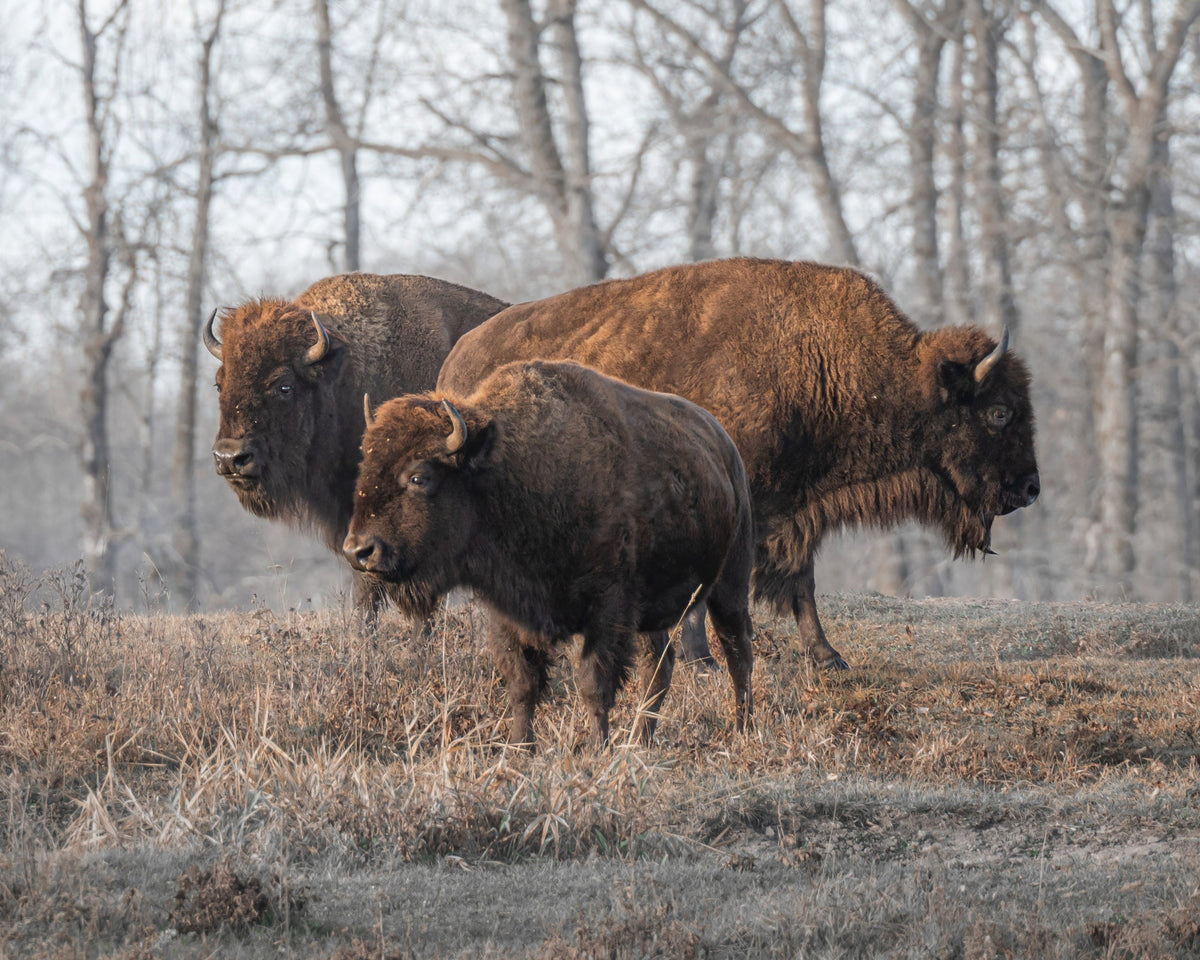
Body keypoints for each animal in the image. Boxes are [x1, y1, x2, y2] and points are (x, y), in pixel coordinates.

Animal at [342, 360, 754, 746]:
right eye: (365, 468)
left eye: (419, 477)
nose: (358, 551)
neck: (513, 475)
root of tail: (727, 449)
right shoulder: (509, 613)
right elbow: (523, 685)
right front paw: (520, 748)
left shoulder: (608, 608)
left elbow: (594, 685)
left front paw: (596, 749)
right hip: (654, 615)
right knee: (660, 667)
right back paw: (641, 740)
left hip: (730, 585)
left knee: (738, 654)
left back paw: (742, 729)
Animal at [438, 257, 1040, 669]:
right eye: (1000, 412)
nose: (1030, 488)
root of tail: (457, 360)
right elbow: (709, 593)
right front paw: (703, 660)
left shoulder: (794, 513)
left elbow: (802, 583)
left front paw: (828, 657)